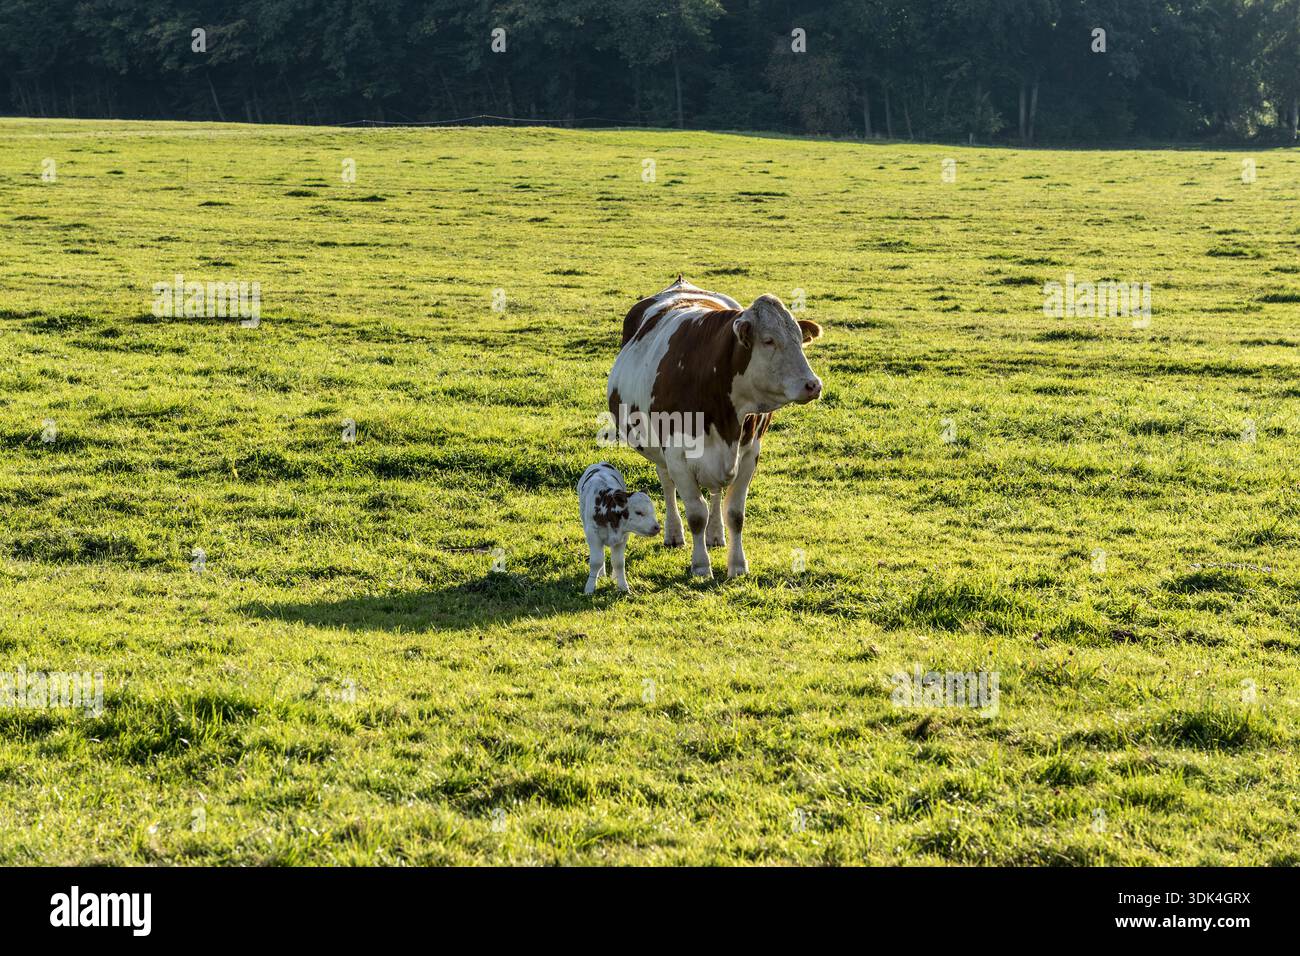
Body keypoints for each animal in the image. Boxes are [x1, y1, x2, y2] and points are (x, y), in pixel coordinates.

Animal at [606, 276, 823, 579]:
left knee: (716, 493)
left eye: (800, 340)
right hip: (657, 450)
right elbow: (697, 514)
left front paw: (738, 564)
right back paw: (674, 533)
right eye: (769, 340)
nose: (813, 385)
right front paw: (700, 565)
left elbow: (736, 514)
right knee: (668, 485)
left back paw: (716, 535)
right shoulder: (677, 455)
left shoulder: (749, 452)